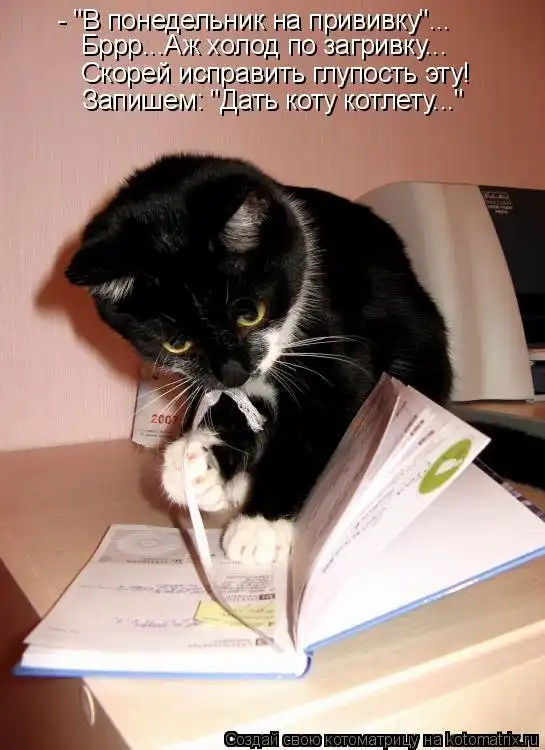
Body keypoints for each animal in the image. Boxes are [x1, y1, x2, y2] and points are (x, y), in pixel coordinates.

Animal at [64, 152, 545, 565]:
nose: (233, 371)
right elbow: (235, 407)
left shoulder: (337, 351)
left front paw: (260, 525)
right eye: (176, 343)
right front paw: (199, 466)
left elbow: (316, 430)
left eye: (250, 313)